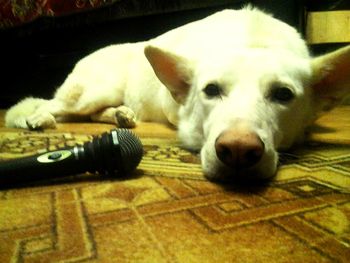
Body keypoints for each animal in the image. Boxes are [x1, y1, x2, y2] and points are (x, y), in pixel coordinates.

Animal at [5, 7, 350, 183]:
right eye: (211, 90)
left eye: (283, 94)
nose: (238, 150)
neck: (252, 39)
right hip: (92, 91)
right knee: (56, 106)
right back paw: (38, 118)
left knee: (93, 114)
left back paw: (121, 115)